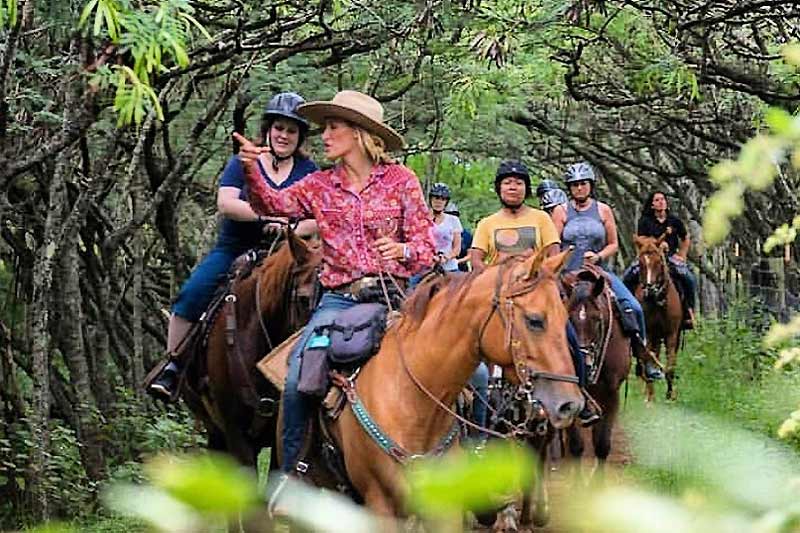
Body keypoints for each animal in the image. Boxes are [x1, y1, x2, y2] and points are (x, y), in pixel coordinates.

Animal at [290, 247, 584, 520]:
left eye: (564, 318)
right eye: (535, 320)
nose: (571, 404)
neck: (412, 401)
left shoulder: (444, 506)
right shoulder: (380, 503)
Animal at [564, 264, 632, 474]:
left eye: (597, 319)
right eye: (568, 318)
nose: (584, 363)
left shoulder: (611, 393)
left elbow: (602, 445)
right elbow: (576, 445)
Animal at [636, 235, 680, 402]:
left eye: (658, 262)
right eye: (640, 263)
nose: (650, 287)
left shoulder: (671, 334)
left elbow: (671, 366)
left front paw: (670, 395)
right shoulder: (648, 332)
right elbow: (647, 357)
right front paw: (650, 396)